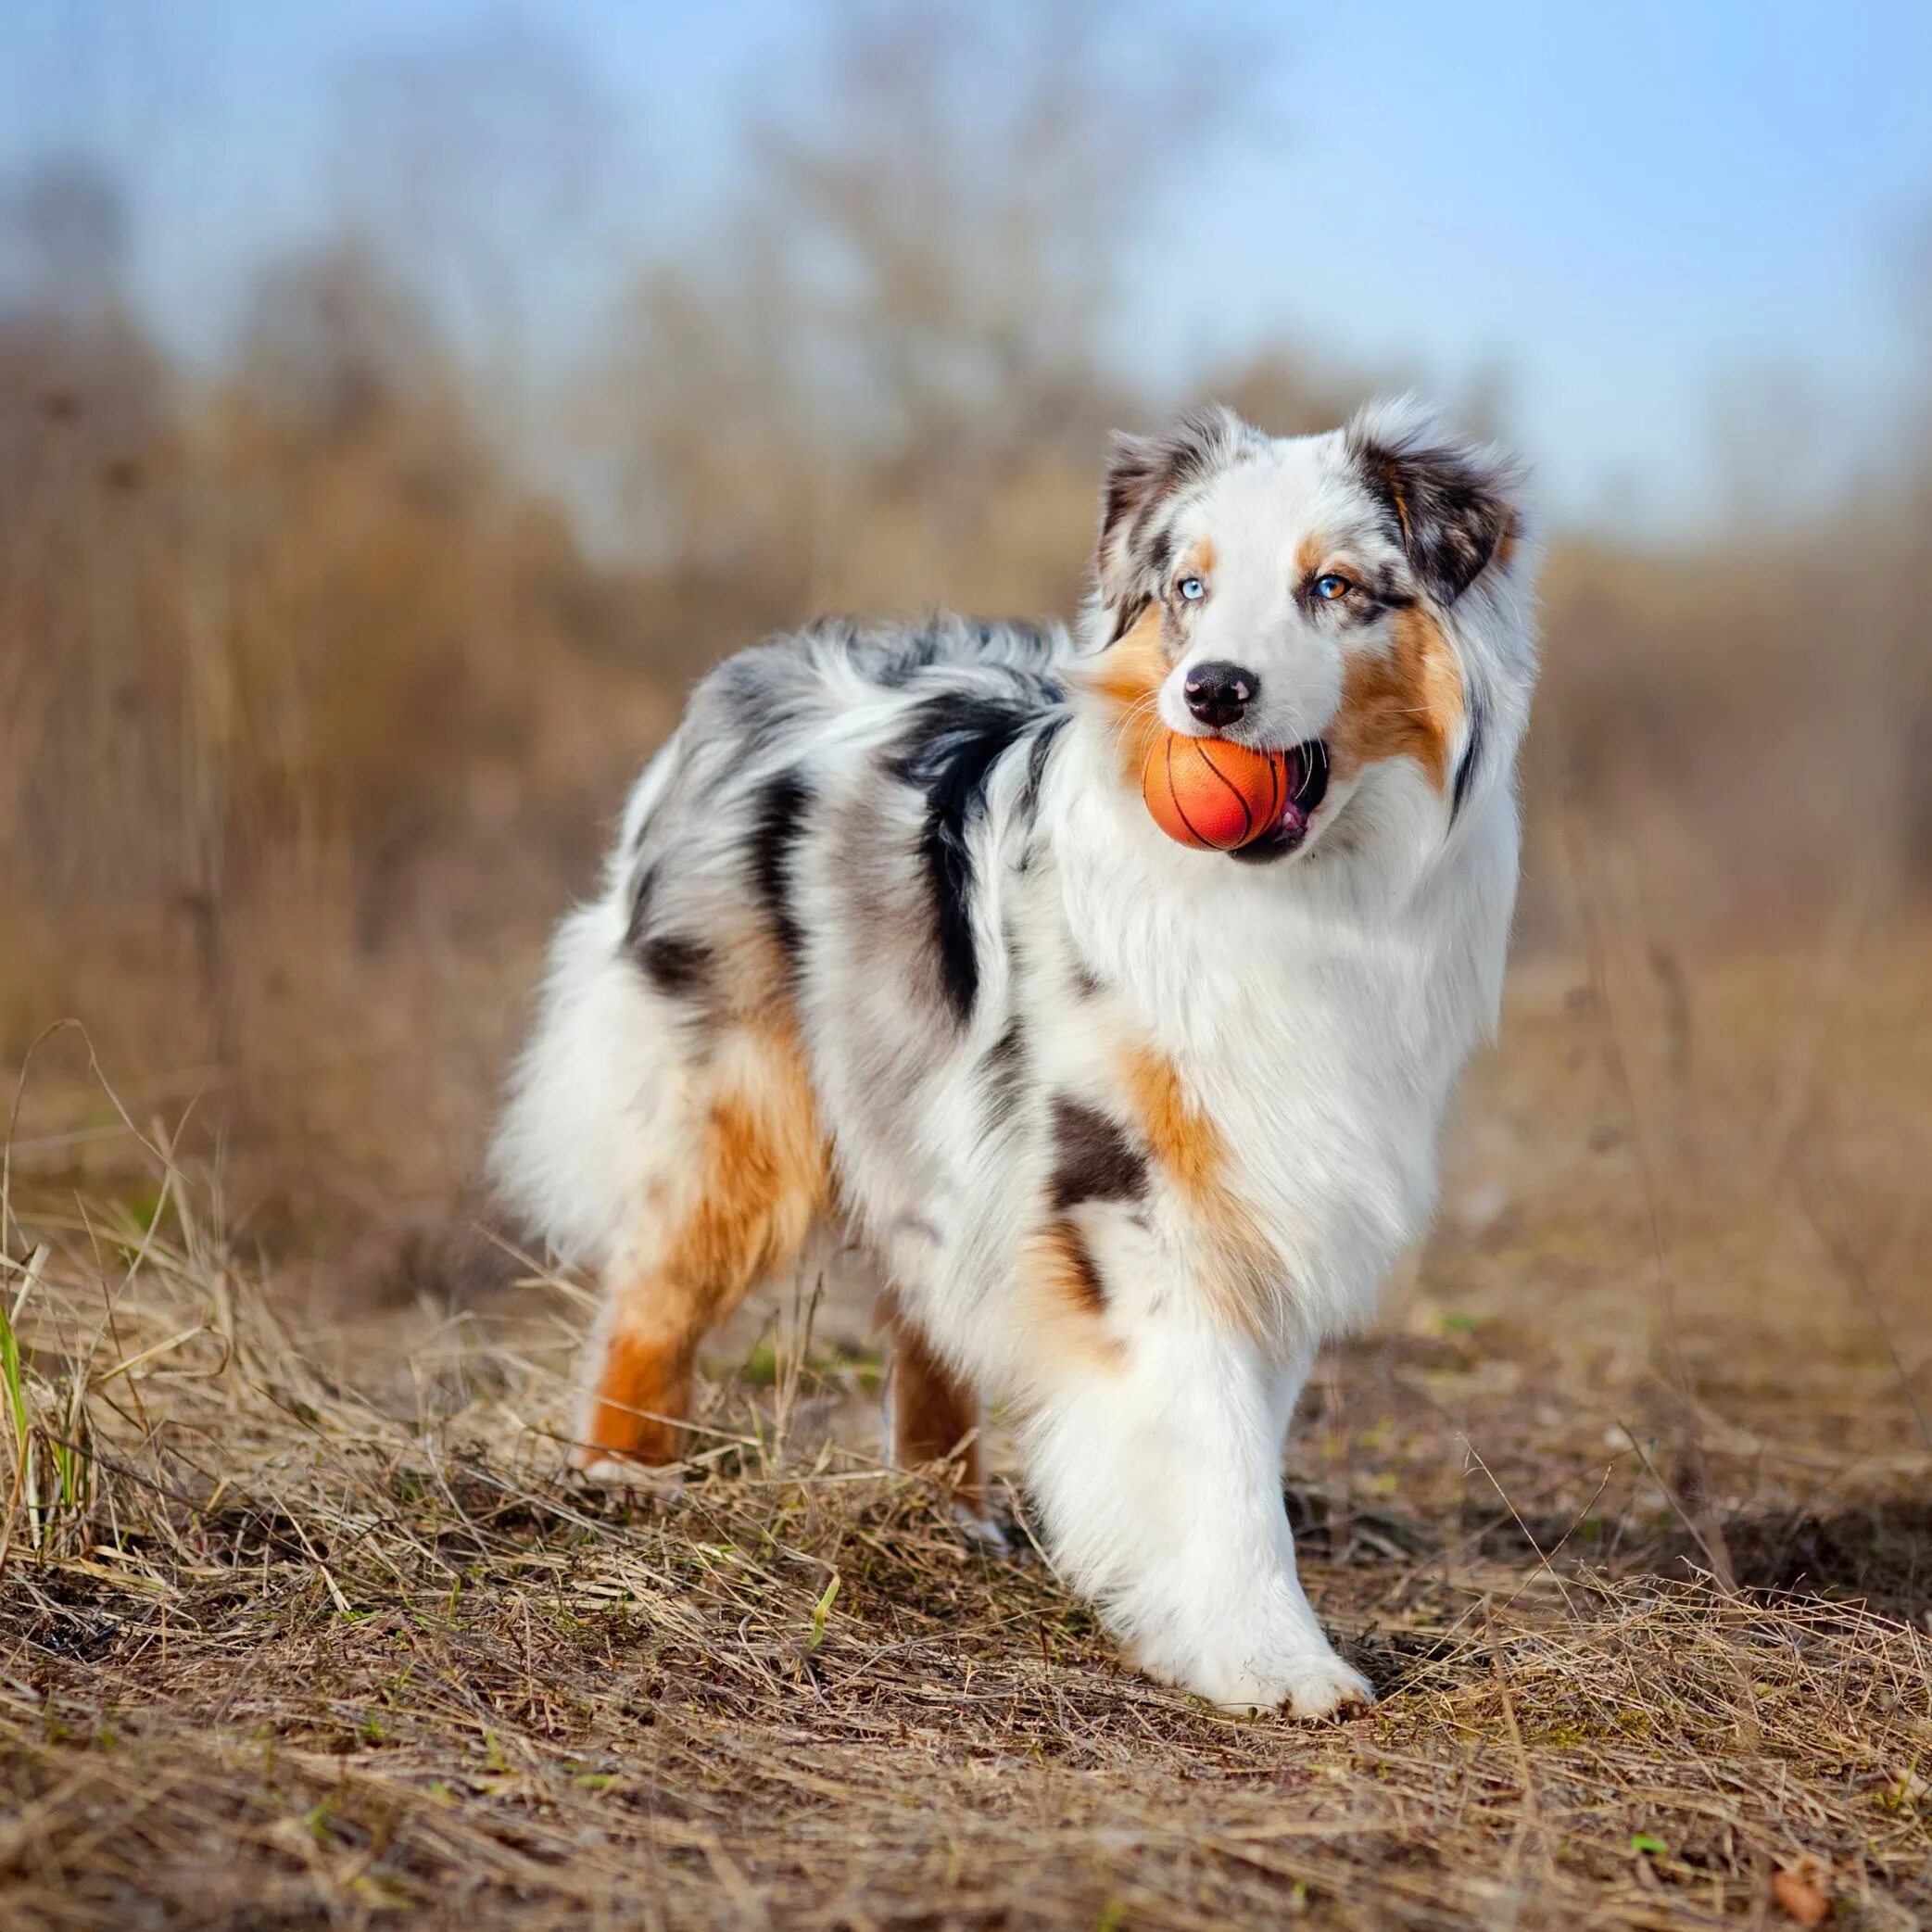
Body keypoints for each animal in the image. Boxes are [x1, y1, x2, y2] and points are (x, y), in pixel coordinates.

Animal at [494, 399, 1537, 1715]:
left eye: (1335, 587)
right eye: (1191, 588)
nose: (1213, 693)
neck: (1294, 899)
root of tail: (752, 674)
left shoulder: (1271, 1182)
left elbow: (1238, 1424)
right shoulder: (1126, 1186)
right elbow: (1212, 1443)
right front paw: (1271, 1659)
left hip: (920, 1112)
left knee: (920, 1302)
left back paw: (946, 1515)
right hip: (741, 1104)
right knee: (658, 1291)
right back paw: (621, 1480)